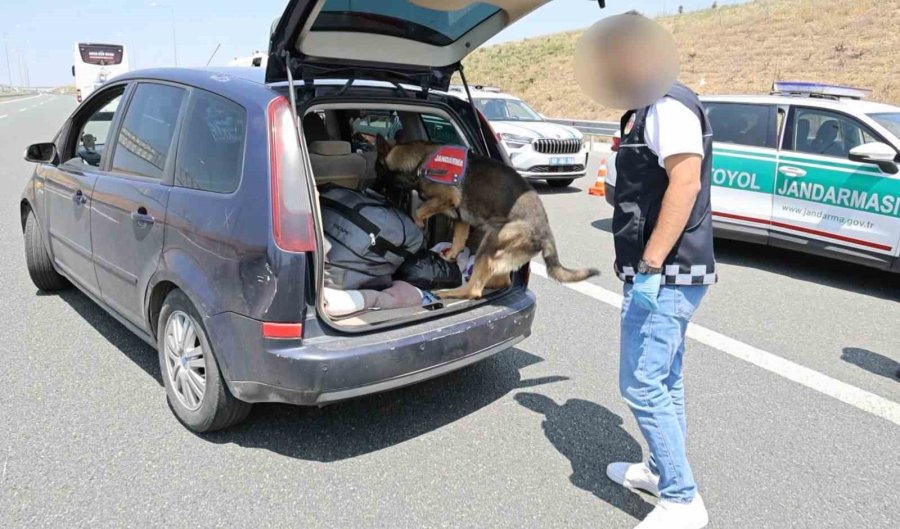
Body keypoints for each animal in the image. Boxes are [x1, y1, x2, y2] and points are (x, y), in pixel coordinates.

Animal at [376, 135, 599, 300]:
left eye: (378, 169)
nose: (375, 185)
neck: (421, 160)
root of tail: (545, 233)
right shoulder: (461, 219)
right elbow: (458, 240)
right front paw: (450, 256)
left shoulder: (446, 199)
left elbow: (420, 211)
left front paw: (419, 224)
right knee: (500, 281)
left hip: (490, 243)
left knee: (475, 290)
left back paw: (450, 292)